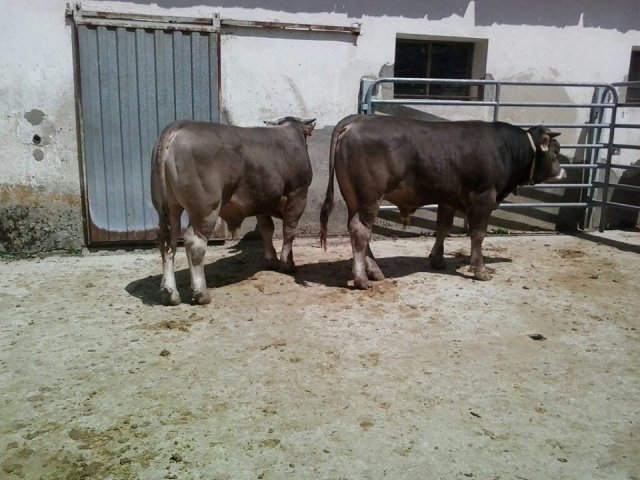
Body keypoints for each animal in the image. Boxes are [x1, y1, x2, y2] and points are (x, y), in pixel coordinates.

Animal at [151, 116, 315, 305]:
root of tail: (178, 126)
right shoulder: (298, 194)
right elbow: (289, 230)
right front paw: (287, 264)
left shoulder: (262, 200)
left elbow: (267, 229)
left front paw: (272, 260)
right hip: (206, 209)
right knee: (194, 243)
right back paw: (201, 293)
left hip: (168, 207)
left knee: (167, 241)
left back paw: (170, 293)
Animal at [320, 115, 566, 289]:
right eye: (555, 152)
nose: (563, 173)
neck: (504, 149)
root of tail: (357, 120)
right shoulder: (484, 196)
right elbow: (478, 234)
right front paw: (480, 270)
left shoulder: (448, 197)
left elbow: (443, 228)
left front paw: (437, 259)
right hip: (370, 197)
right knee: (361, 230)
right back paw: (361, 278)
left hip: (354, 199)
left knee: (358, 230)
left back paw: (374, 271)